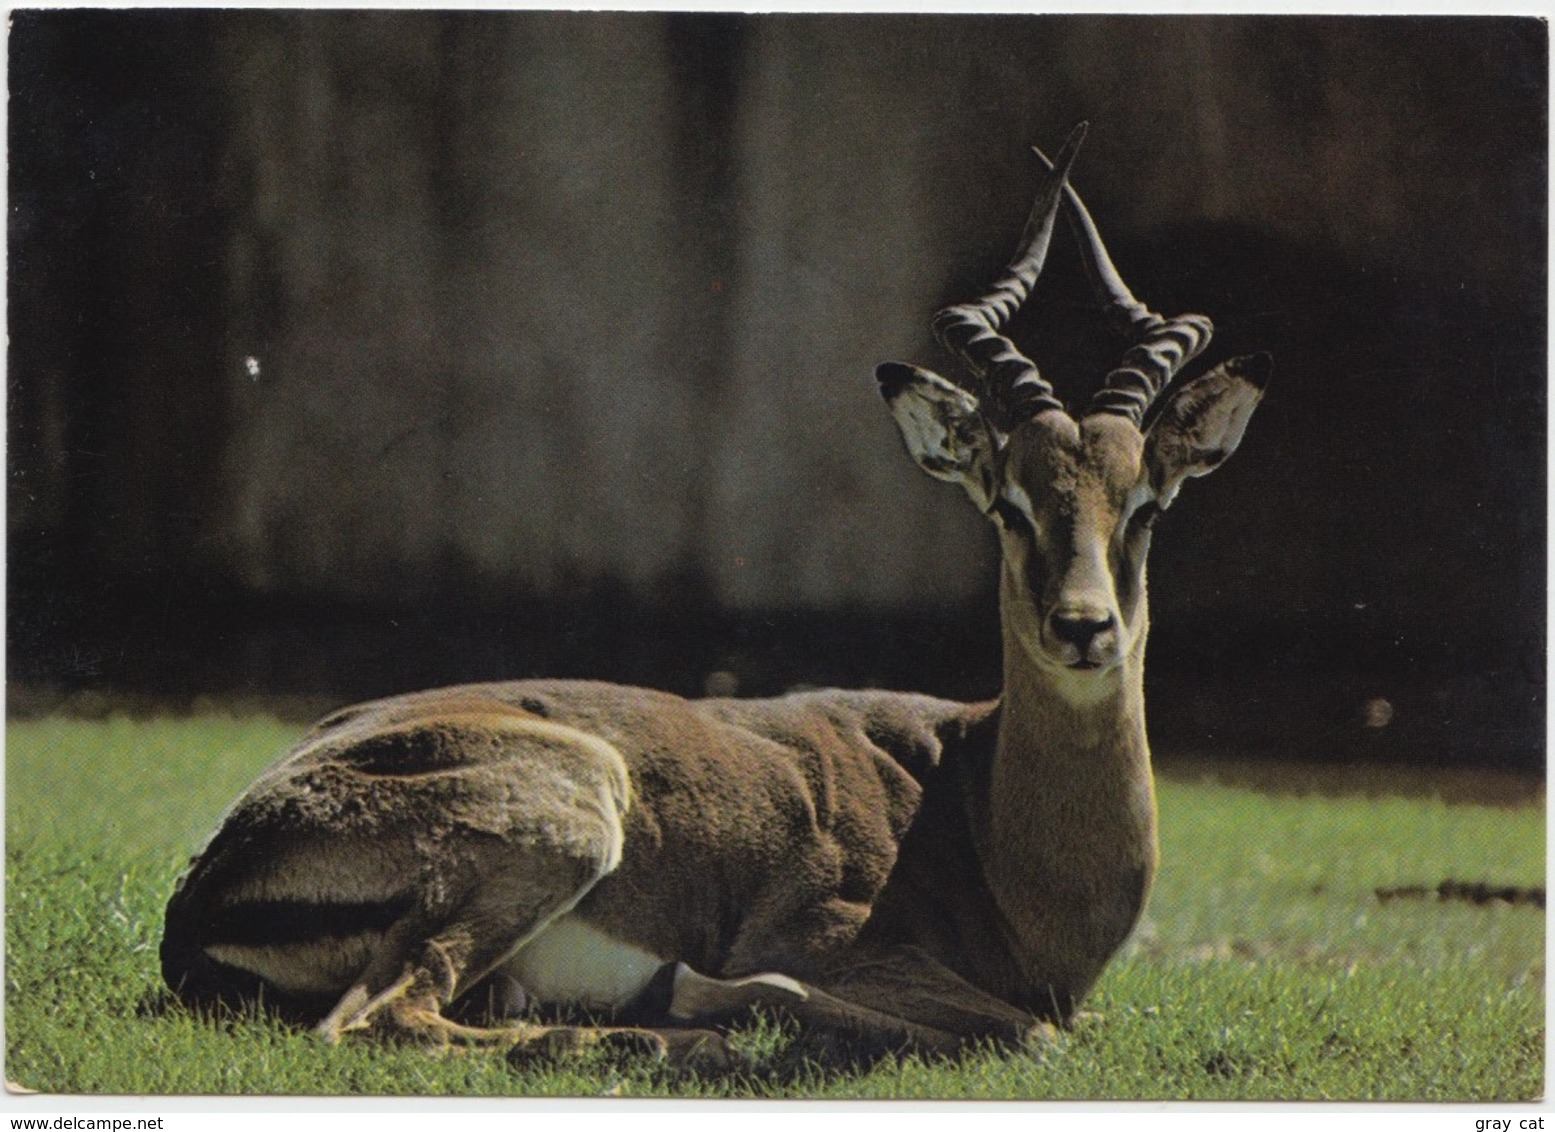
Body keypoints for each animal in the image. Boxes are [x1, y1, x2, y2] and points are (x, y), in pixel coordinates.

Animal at [164, 123, 1268, 1069]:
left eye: (1145, 504)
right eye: (1006, 504)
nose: (1084, 627)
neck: (978, 813)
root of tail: (207, 882)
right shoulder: (834, 943)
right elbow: (1024, 1031)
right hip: (565, 816)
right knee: (379, 1019)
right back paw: (674, 1036)